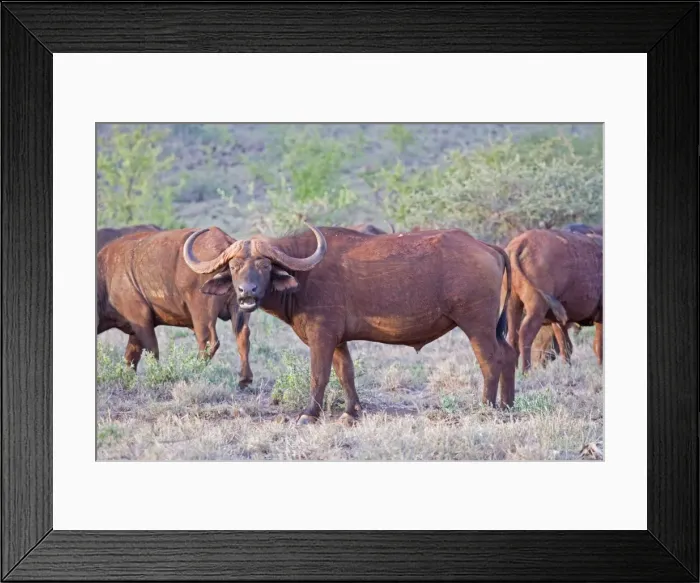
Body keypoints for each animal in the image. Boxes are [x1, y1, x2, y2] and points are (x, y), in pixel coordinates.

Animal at [97, 228, 253, 386]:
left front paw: (157, 376)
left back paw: (194, 372)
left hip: (202, 314)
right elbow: (131, 358)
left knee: (208, 342)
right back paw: (245, 379)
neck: (105, 276)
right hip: (240, 307)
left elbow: (152, 351)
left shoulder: (141, 320)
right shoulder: (135, 331)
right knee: (243, 337)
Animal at [183, 223, 516, 424]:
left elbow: (319, 375)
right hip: (491, 328)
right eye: (234, 266)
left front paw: (309, 414)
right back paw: (508, 404)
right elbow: (346, 374)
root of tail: (488, 247)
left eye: (264, 266)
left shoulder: (322, 336)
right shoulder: (339, 340)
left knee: (490, 360)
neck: (304, 274)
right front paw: (351, 412)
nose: (246, 292)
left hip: (476, 325)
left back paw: (487, 407)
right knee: (508, 354)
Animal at [505, 228, 602, 372]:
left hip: (513, 305)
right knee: (525, 333)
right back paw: (526, 371)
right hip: (537, 308)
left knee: (512, 336)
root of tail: (520, 243)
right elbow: (598, 346)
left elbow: (566, 346)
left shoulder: (558, 321)